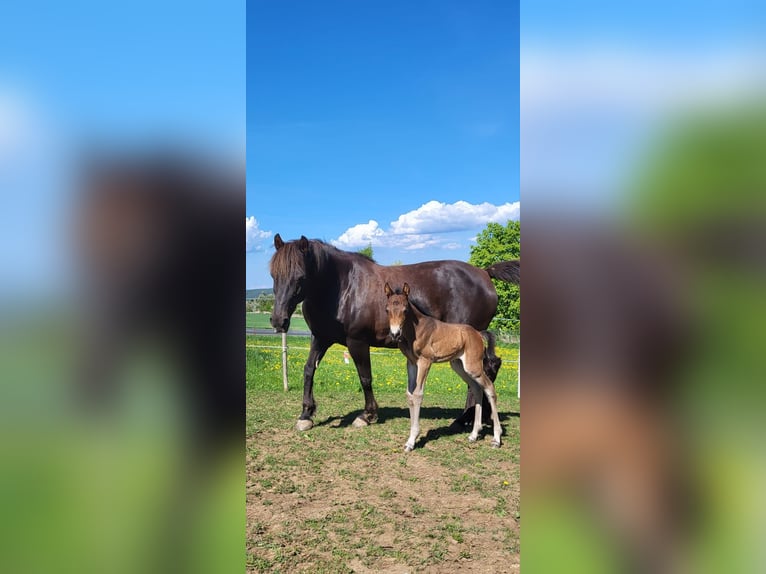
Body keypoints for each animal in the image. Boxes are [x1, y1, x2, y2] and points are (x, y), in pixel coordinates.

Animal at [269, 234, 519, 431]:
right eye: (273, 275)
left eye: (300, 277)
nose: (278, 320)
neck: (343, 287)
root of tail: (484, 273)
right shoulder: (320, 338)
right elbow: (309, 370)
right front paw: (306, 414)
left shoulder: (357, 342)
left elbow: (365, 377)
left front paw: (367, 415)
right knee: (486, 369)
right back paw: (472, 418)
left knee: (483, 371)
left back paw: (469, 418)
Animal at [385, 282, 503, 451]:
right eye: (387, 309)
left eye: (405, 310)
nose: (394, 334)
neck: (416, 329)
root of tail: (478, 334)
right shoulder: (411, 363)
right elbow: (409, 394)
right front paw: (410, 439)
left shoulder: (425, 362)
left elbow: (418, 394)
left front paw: (412, 440)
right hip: (459, 366)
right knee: (477, 388)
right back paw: (474, 435)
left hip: (473, 367)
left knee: (489, 388)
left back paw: (497, 438)